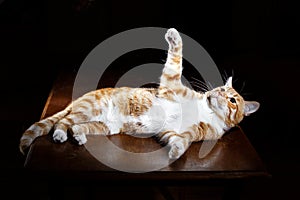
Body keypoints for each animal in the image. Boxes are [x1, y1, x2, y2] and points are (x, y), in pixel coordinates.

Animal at [18, 28, 258, 159]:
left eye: (232, 99)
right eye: (221, 89)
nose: (217, 94)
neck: (206, 111)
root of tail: (78, 99)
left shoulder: (176, 131)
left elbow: (181, 140)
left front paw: (177, 151)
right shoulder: (171, 83)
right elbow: (177, 57)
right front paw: (174, 37)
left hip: (106, 126)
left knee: (75, 125)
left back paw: (79, 136)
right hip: (88, 110)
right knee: (63, 121)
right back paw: (60, 134)